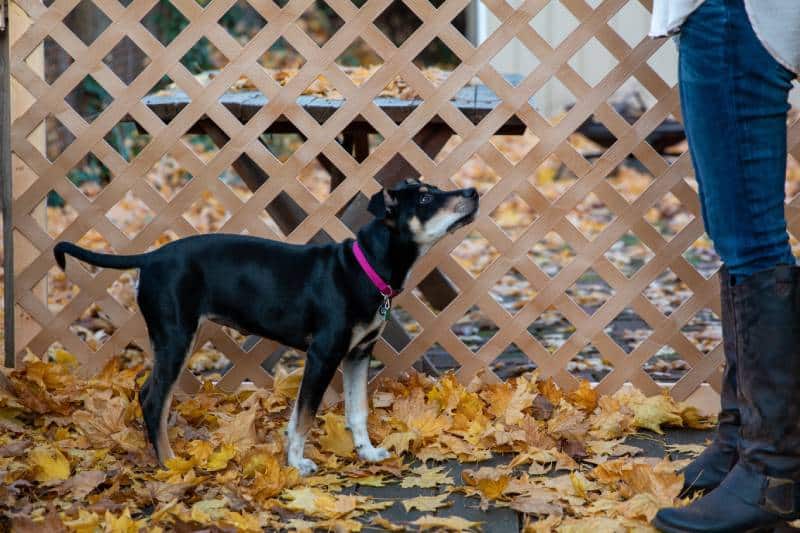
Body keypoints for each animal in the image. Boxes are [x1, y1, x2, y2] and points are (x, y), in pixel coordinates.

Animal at [57, 180, 482, 474]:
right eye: (424, 199)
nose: (473, 192)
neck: (363, 269)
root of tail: (150, 257)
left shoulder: (359, 354)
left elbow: (357, 410)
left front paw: (368, 452)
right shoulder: (323, 354)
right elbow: (304, 416)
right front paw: (297, 463)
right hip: (176, 338)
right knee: (152, 399)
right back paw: (168, 462)